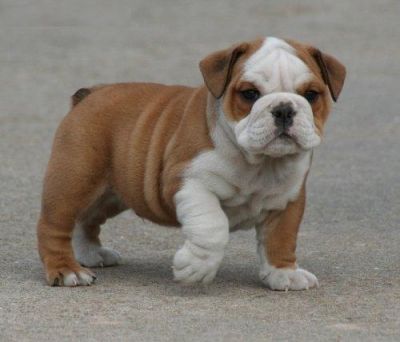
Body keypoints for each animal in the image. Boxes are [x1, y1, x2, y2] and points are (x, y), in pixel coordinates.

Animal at [36, 36, 344, 288]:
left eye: (311, 95)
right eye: (250, 94)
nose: (283, 109)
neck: (258, 163)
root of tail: (90, 94)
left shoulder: (288, 199)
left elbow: (281, 238)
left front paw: (284, 273)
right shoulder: (189, 182)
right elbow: (212, 226)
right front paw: (195, 268)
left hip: (110, 194)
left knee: (86, 219)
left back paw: (90, 253)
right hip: (74, 179)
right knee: (54, 225)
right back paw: (67, 270)